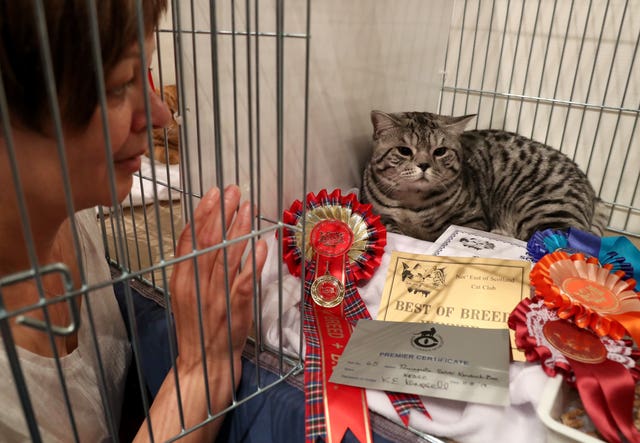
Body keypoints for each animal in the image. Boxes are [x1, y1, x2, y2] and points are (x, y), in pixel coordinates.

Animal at [360, 111, 604, 243]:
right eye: (404, 151)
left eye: (440, 151)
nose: (423, 165)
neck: (414, 204)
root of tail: (593, 192)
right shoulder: (378, 214)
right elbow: (391, 228)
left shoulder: (472, 219)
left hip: (546, 211)